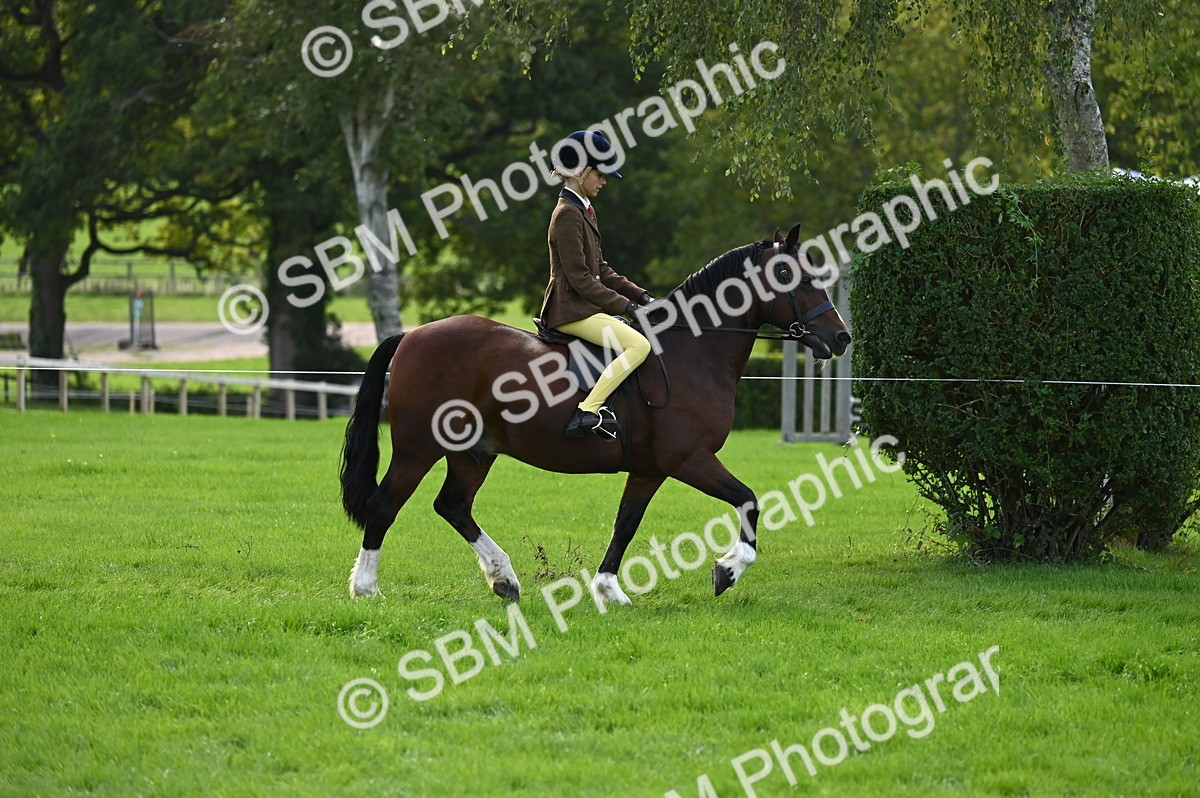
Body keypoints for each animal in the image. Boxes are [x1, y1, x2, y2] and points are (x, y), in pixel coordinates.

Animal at [340, 223, 852, 604]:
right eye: (792, 275)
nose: (841, 338)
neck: (693, 350)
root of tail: (411, 335)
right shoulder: (689, 459)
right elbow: (748, 500)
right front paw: (727, 571)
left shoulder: (649, 469)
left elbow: (626, 523)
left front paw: (609, 591)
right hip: (418, 448)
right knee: (384, 506)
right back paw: (366, 589)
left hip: (474, 452)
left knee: (452, 506)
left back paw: (504, 580)